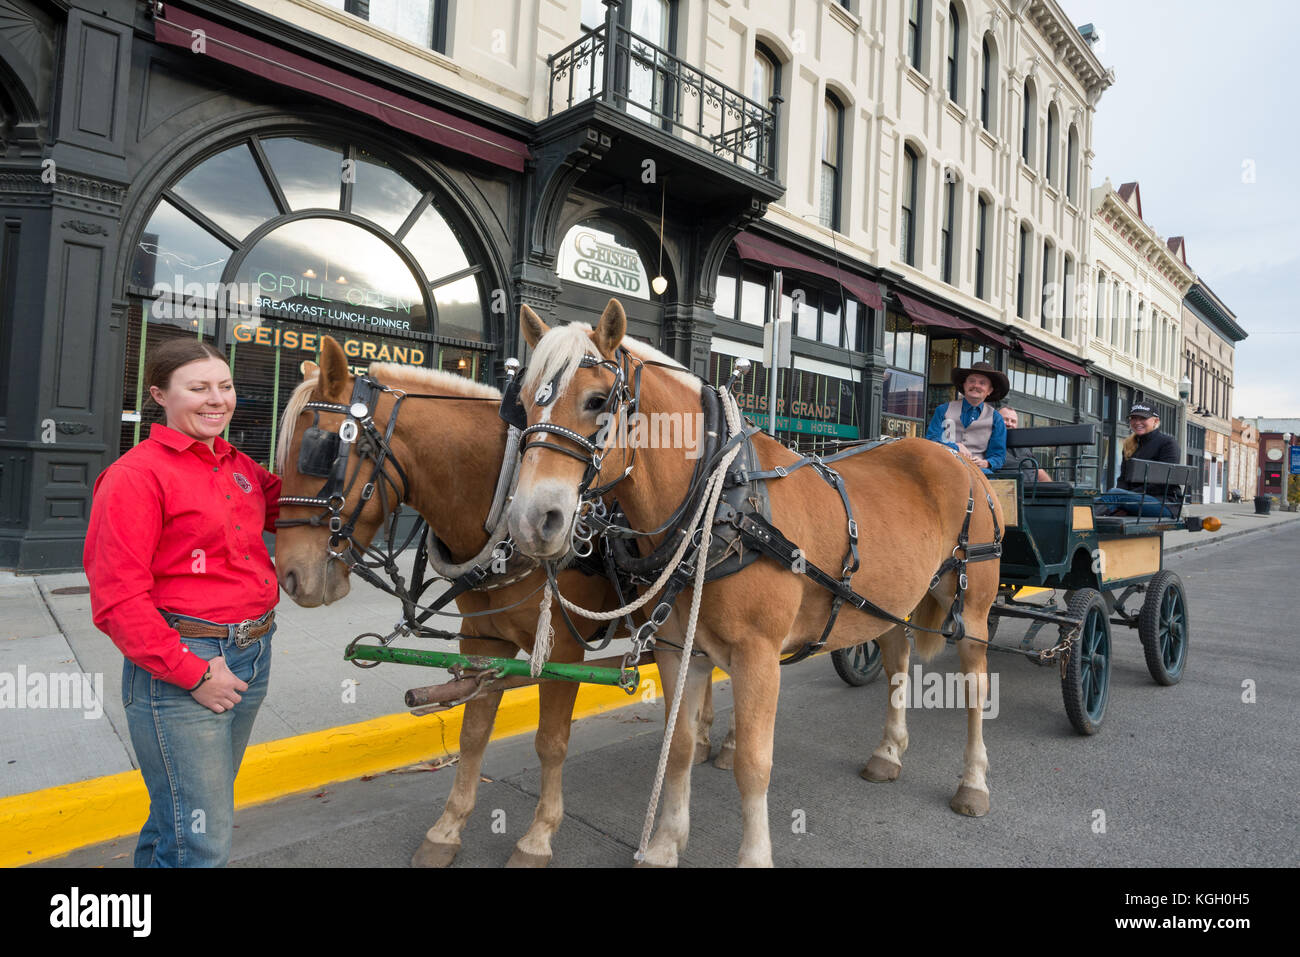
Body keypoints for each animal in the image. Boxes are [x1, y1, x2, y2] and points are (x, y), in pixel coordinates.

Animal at [274, 335, 725, 867]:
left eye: (319, 452)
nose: (290, 576)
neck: (504, 505)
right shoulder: (483, 640)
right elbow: (472, 733)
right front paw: (447, 829)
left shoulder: (562, 650)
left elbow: (551, 741)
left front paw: (538, 836)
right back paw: (704, 738)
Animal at [506, 299, 1003, 867]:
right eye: (523, 403)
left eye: (595, 401)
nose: (530, 520)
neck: (720, 498)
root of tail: (958, 458)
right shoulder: (679, 648)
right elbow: (679, 747)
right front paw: (664, 844)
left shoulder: (758, 654)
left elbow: (753, 763)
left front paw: (753, 855)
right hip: (890, 598)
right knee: (897, 660)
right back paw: (888, 752)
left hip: (973, 608)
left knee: (975, 686)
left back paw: (973, 782)